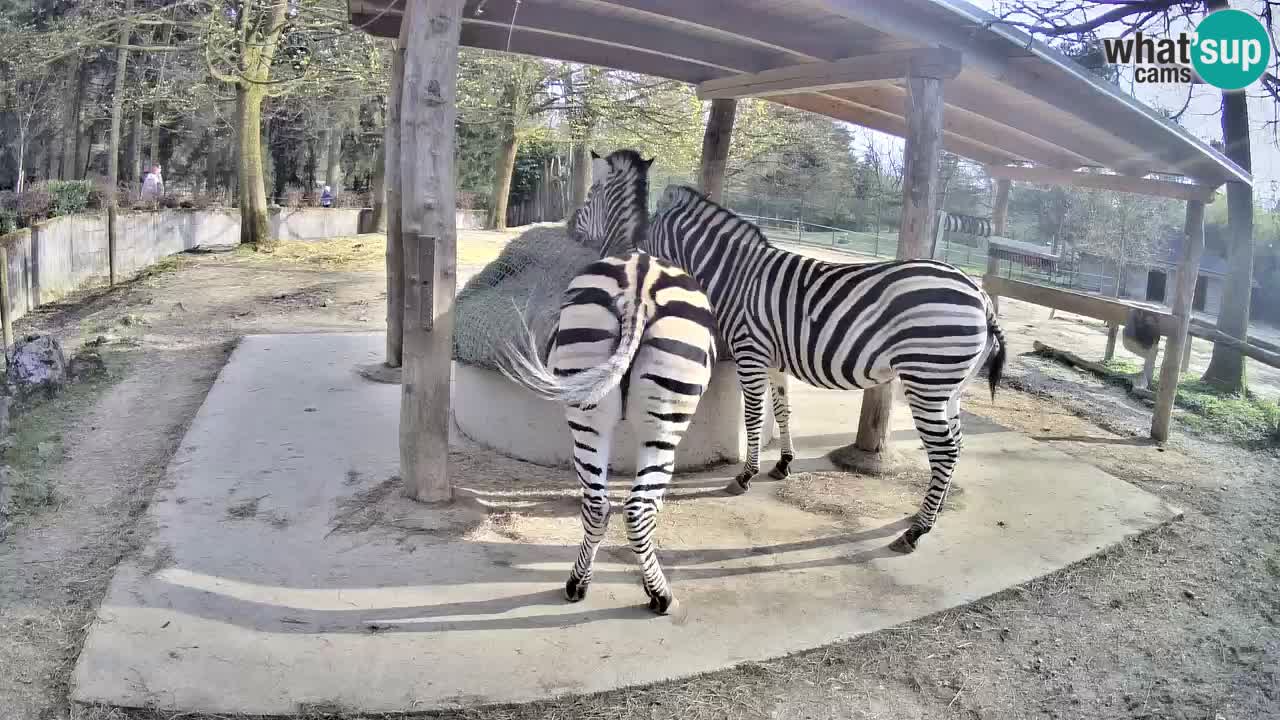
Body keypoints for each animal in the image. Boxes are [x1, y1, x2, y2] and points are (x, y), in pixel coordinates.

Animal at [499, 150, 718, 614]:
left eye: (589, 195)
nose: (568, 223)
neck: (628, 247)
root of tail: (639, 288)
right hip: (663, 420)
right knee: (632, 507)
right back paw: (655, 593)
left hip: (591, 413)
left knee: (605, 503)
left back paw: (584, 584)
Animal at [642, 179, 1007, 555]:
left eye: (648, 225)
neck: (737, 278)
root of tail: (979, 295)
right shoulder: (774, 361)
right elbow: (782, 410)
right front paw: (783, 465)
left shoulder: (750, 352)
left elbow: (753, 417)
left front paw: (745, 476)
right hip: (951, 388)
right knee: (957, 445)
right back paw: (933, 512)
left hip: (927, 381)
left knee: (945, 450)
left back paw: (916, 531)